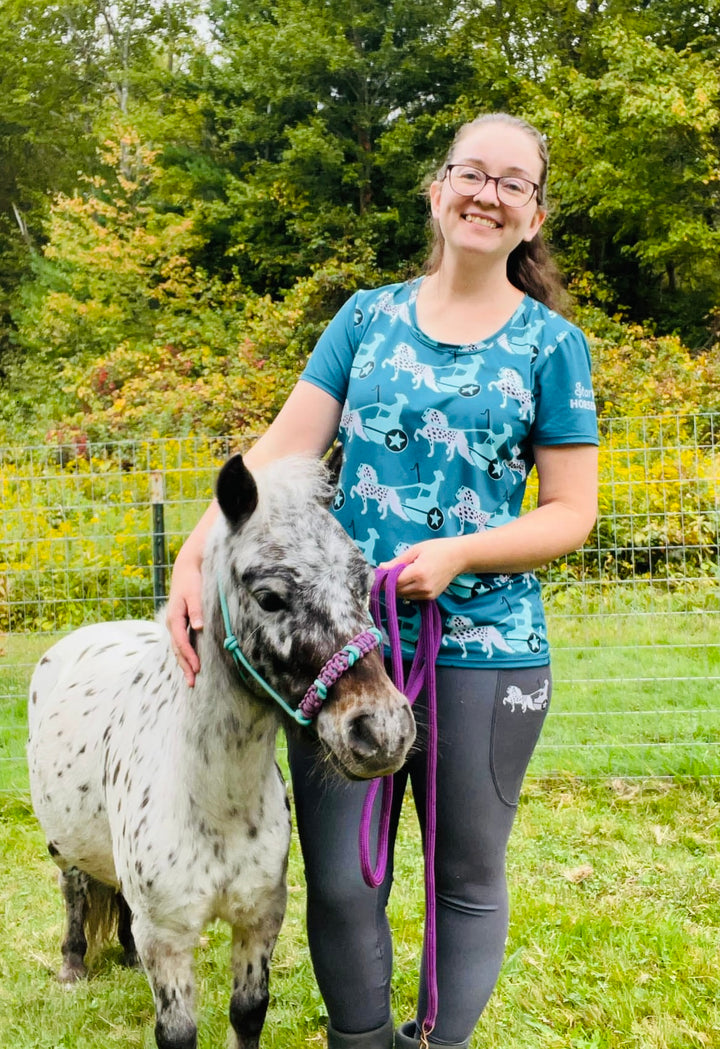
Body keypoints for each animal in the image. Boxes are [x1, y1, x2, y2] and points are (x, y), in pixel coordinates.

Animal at [29, 457, 417, 1049]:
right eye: (270, 596)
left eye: (362, 582)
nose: (382, 731)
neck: (213, 803)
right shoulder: (167, 940)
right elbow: (177, 1032)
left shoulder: (259, 920)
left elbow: (248, 1012)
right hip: (62, 843)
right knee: (73, 888)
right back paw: (73, 965)